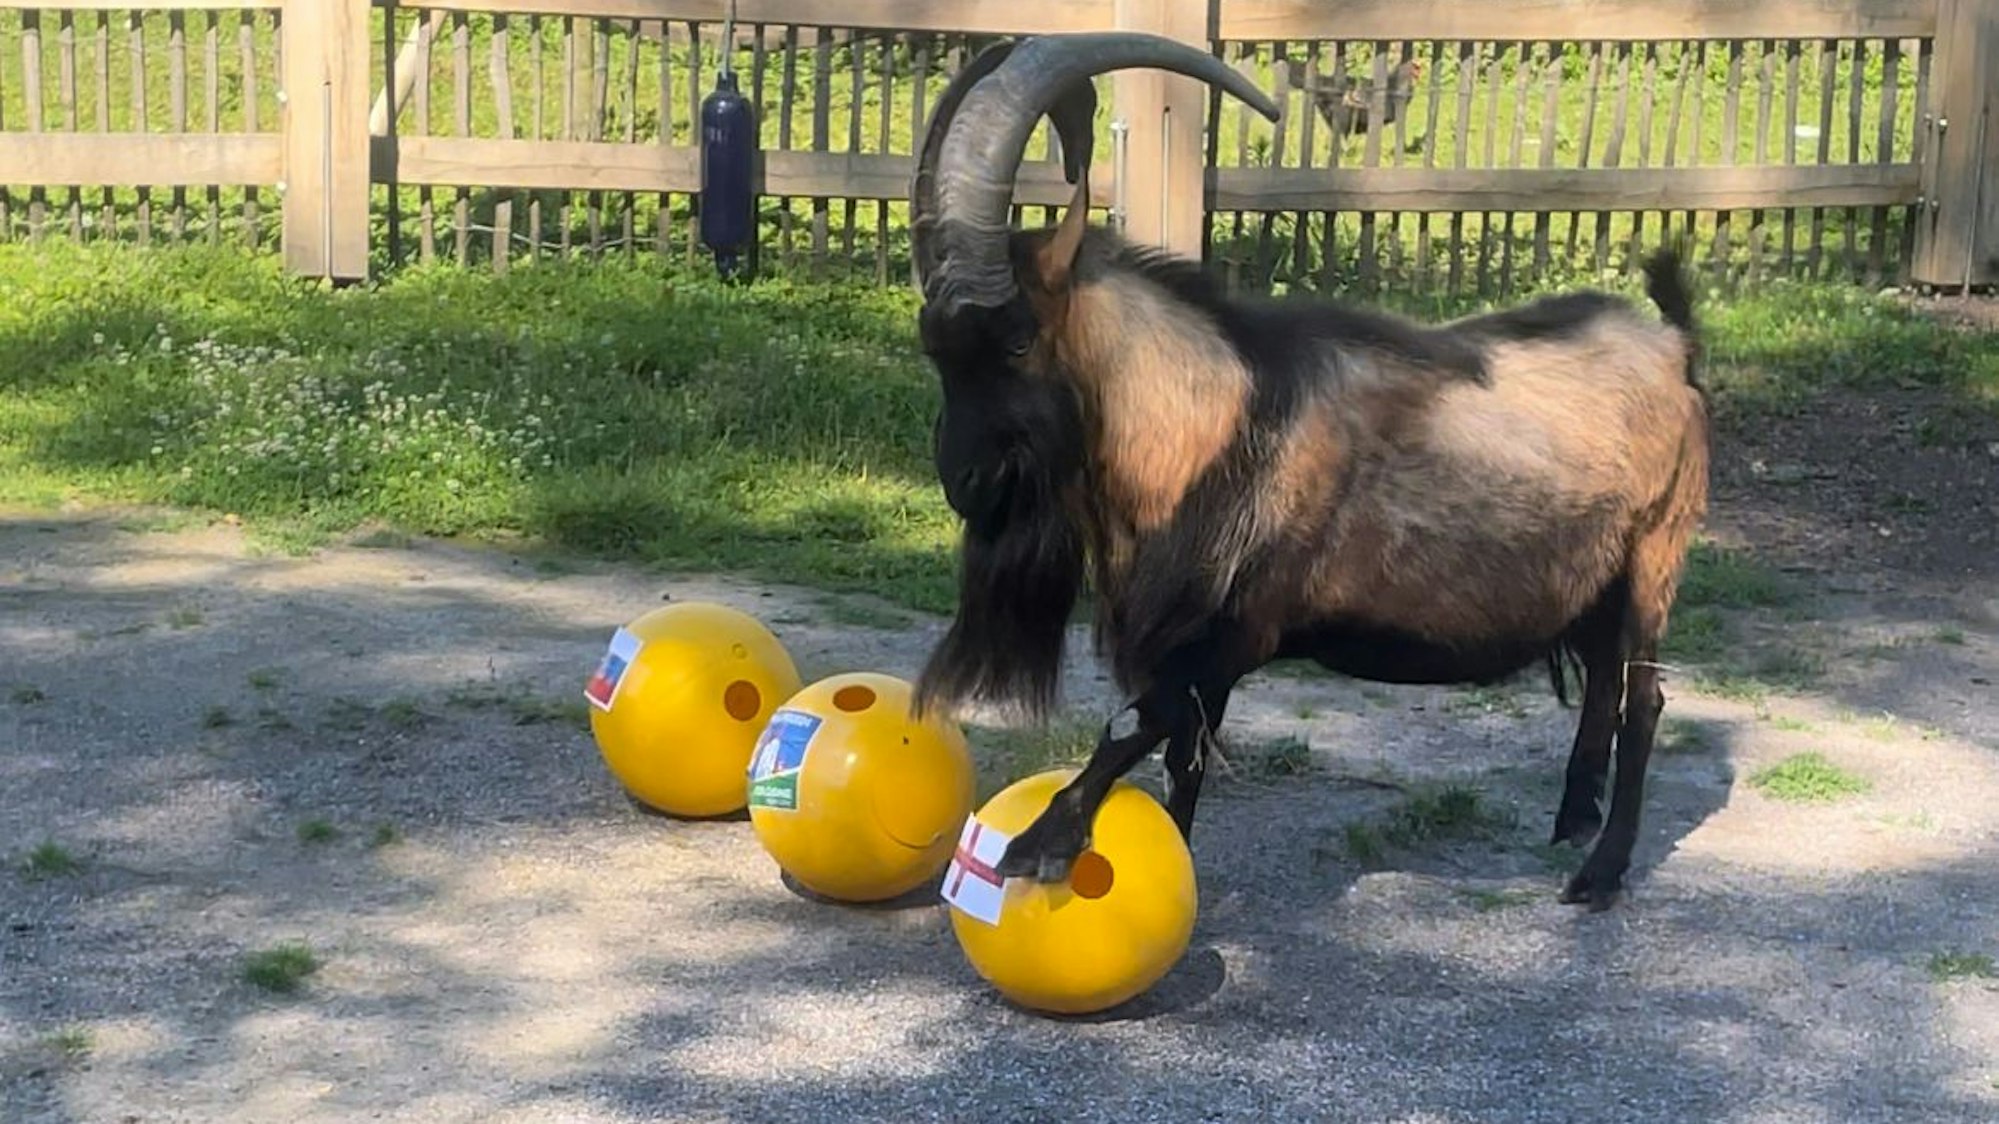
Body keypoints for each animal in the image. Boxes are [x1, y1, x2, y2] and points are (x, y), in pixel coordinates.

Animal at [907, 33, 1710, 912]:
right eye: (933, 348)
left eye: (1017, 341)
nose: (965, 482)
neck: (1218, 425)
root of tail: (1672, 345)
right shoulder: (1194, 644)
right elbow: (1182, 761)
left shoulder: (1235, 629)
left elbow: (1135, 724)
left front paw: (1036, 842)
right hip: (1596, 583)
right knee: (1601, 682)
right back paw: (1571, 822)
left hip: (1655, 555)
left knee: (1643, 698)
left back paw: (1598, 873)